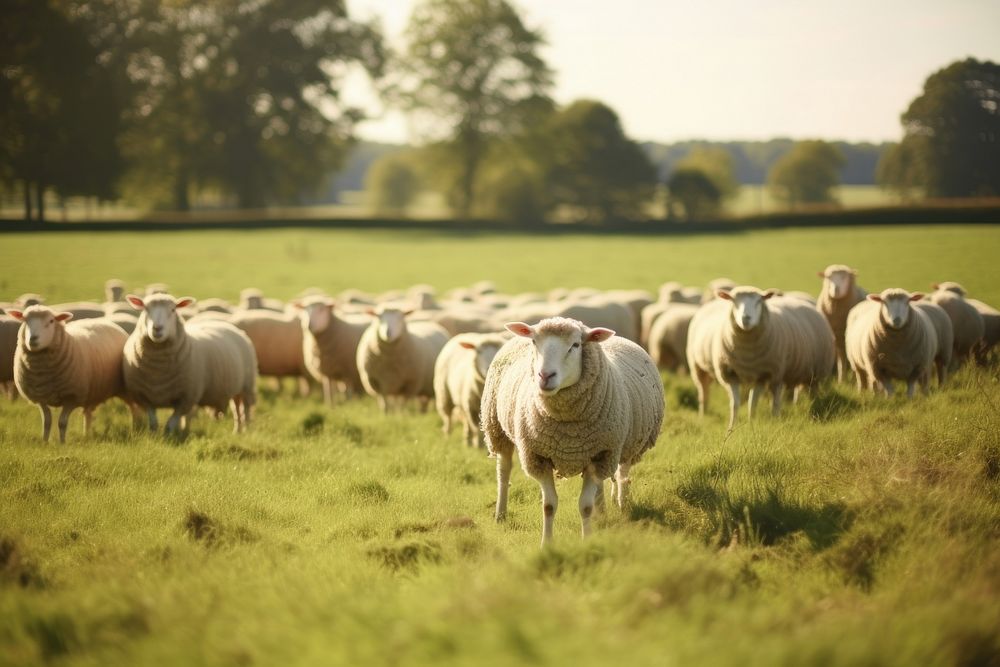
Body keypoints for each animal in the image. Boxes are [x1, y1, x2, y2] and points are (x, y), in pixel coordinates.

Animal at [5, 306, 136, 440]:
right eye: (25, 321)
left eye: (51, 321)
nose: (33, 339)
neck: (44, 374)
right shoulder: (40, 398)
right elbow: (46, 422)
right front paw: (45, 441)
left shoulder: (71, 397)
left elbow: (62, 423)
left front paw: (62, 442)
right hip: (91, 391)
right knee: (88, 413)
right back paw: (86, 435)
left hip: (124, 388)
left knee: (134, 409)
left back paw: (136, 428)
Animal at [122, 294, 256, 436]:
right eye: (145, 309)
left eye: (173, 310)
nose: (157, 328)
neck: (158, 372)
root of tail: (221, 323)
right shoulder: (144, 398)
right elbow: (153, 423)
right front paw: (154, 436)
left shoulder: (186, 399)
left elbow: (170, 424)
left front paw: (168, 437)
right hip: (236, 387)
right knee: (236, 408)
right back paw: (237, 431)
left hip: (247, 386)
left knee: (245, 409)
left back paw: (245, 430)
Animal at [482, 316, 664, 544]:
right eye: (534, 342)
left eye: (576, 345)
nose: (545, 375)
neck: (568, 432)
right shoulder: (538, 457)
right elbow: (549, 505)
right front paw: (547, 544)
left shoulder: (601, 454)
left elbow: (585, 506)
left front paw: (587, 539)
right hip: (496, 428)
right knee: (504, 471)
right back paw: (501, 514)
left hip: (623, 445)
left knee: (620, 474)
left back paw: (614, 507)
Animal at [688, 290, 836, 430]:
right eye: (734, 301)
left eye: (758, 301)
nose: (746, 318)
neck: (747, 356)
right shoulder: (732, 375)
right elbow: (735, 404)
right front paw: (732, 428)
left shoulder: (763, 375)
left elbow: (752, 403)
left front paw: (751, 425)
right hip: (698, 368)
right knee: (703, 391)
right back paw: (703, 414)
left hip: (811, 374)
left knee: (805, 395)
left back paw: (811, 411)